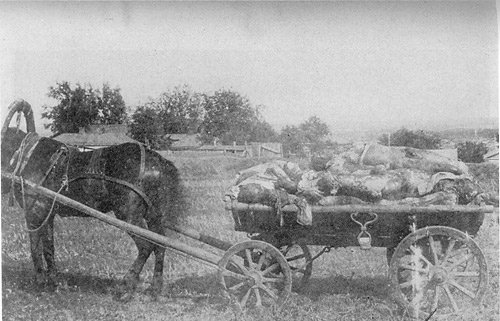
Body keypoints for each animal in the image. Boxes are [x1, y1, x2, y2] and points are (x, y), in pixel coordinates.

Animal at [0, 99, 185, 298]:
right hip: (154, 215)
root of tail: (158, 161)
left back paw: (126, 285)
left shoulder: (34, 212)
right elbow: (49, 247)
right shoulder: (47, 214)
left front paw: (40, 282)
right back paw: (155, 287)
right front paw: (53, 281)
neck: (26, 156)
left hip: (128, 215)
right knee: (160, 245)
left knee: (146, 246)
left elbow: (34, 247)